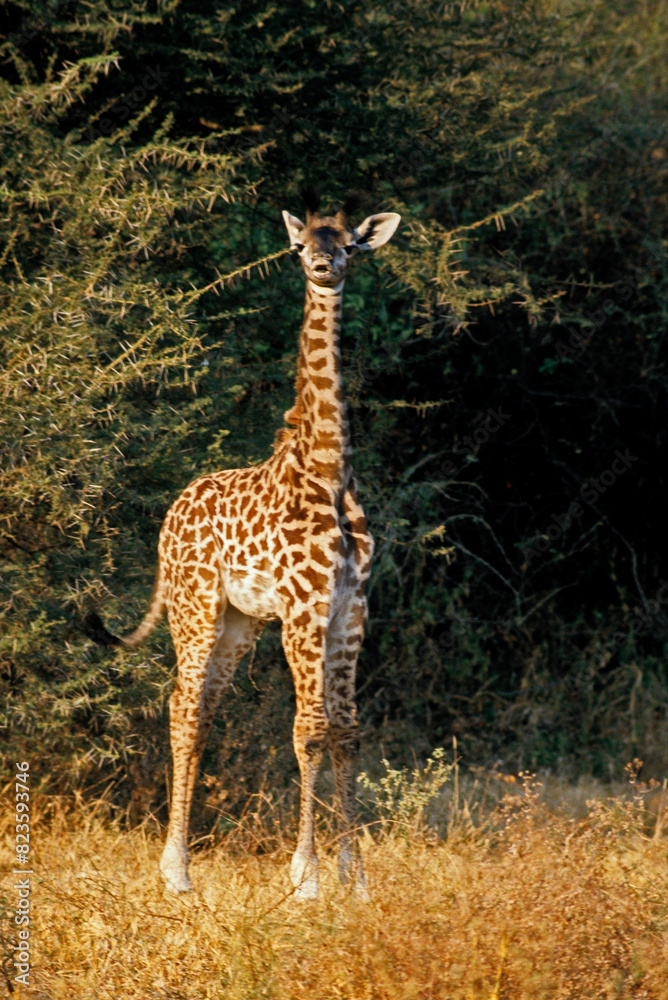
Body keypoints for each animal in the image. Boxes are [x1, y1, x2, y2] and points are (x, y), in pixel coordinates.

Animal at [86, 195, 400, 899]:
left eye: (348, 245)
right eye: (301, 247)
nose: (322, 268)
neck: (330, 469)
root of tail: (168, 516)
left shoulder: (351, 610)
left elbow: (347, 731)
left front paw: (357, 881)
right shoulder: (305, 610)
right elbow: (309, 731)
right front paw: (306, 878)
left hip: (237, 622)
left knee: (200, 709)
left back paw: (181, 865)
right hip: (196, 607)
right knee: (182, 707)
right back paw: (175, 872)